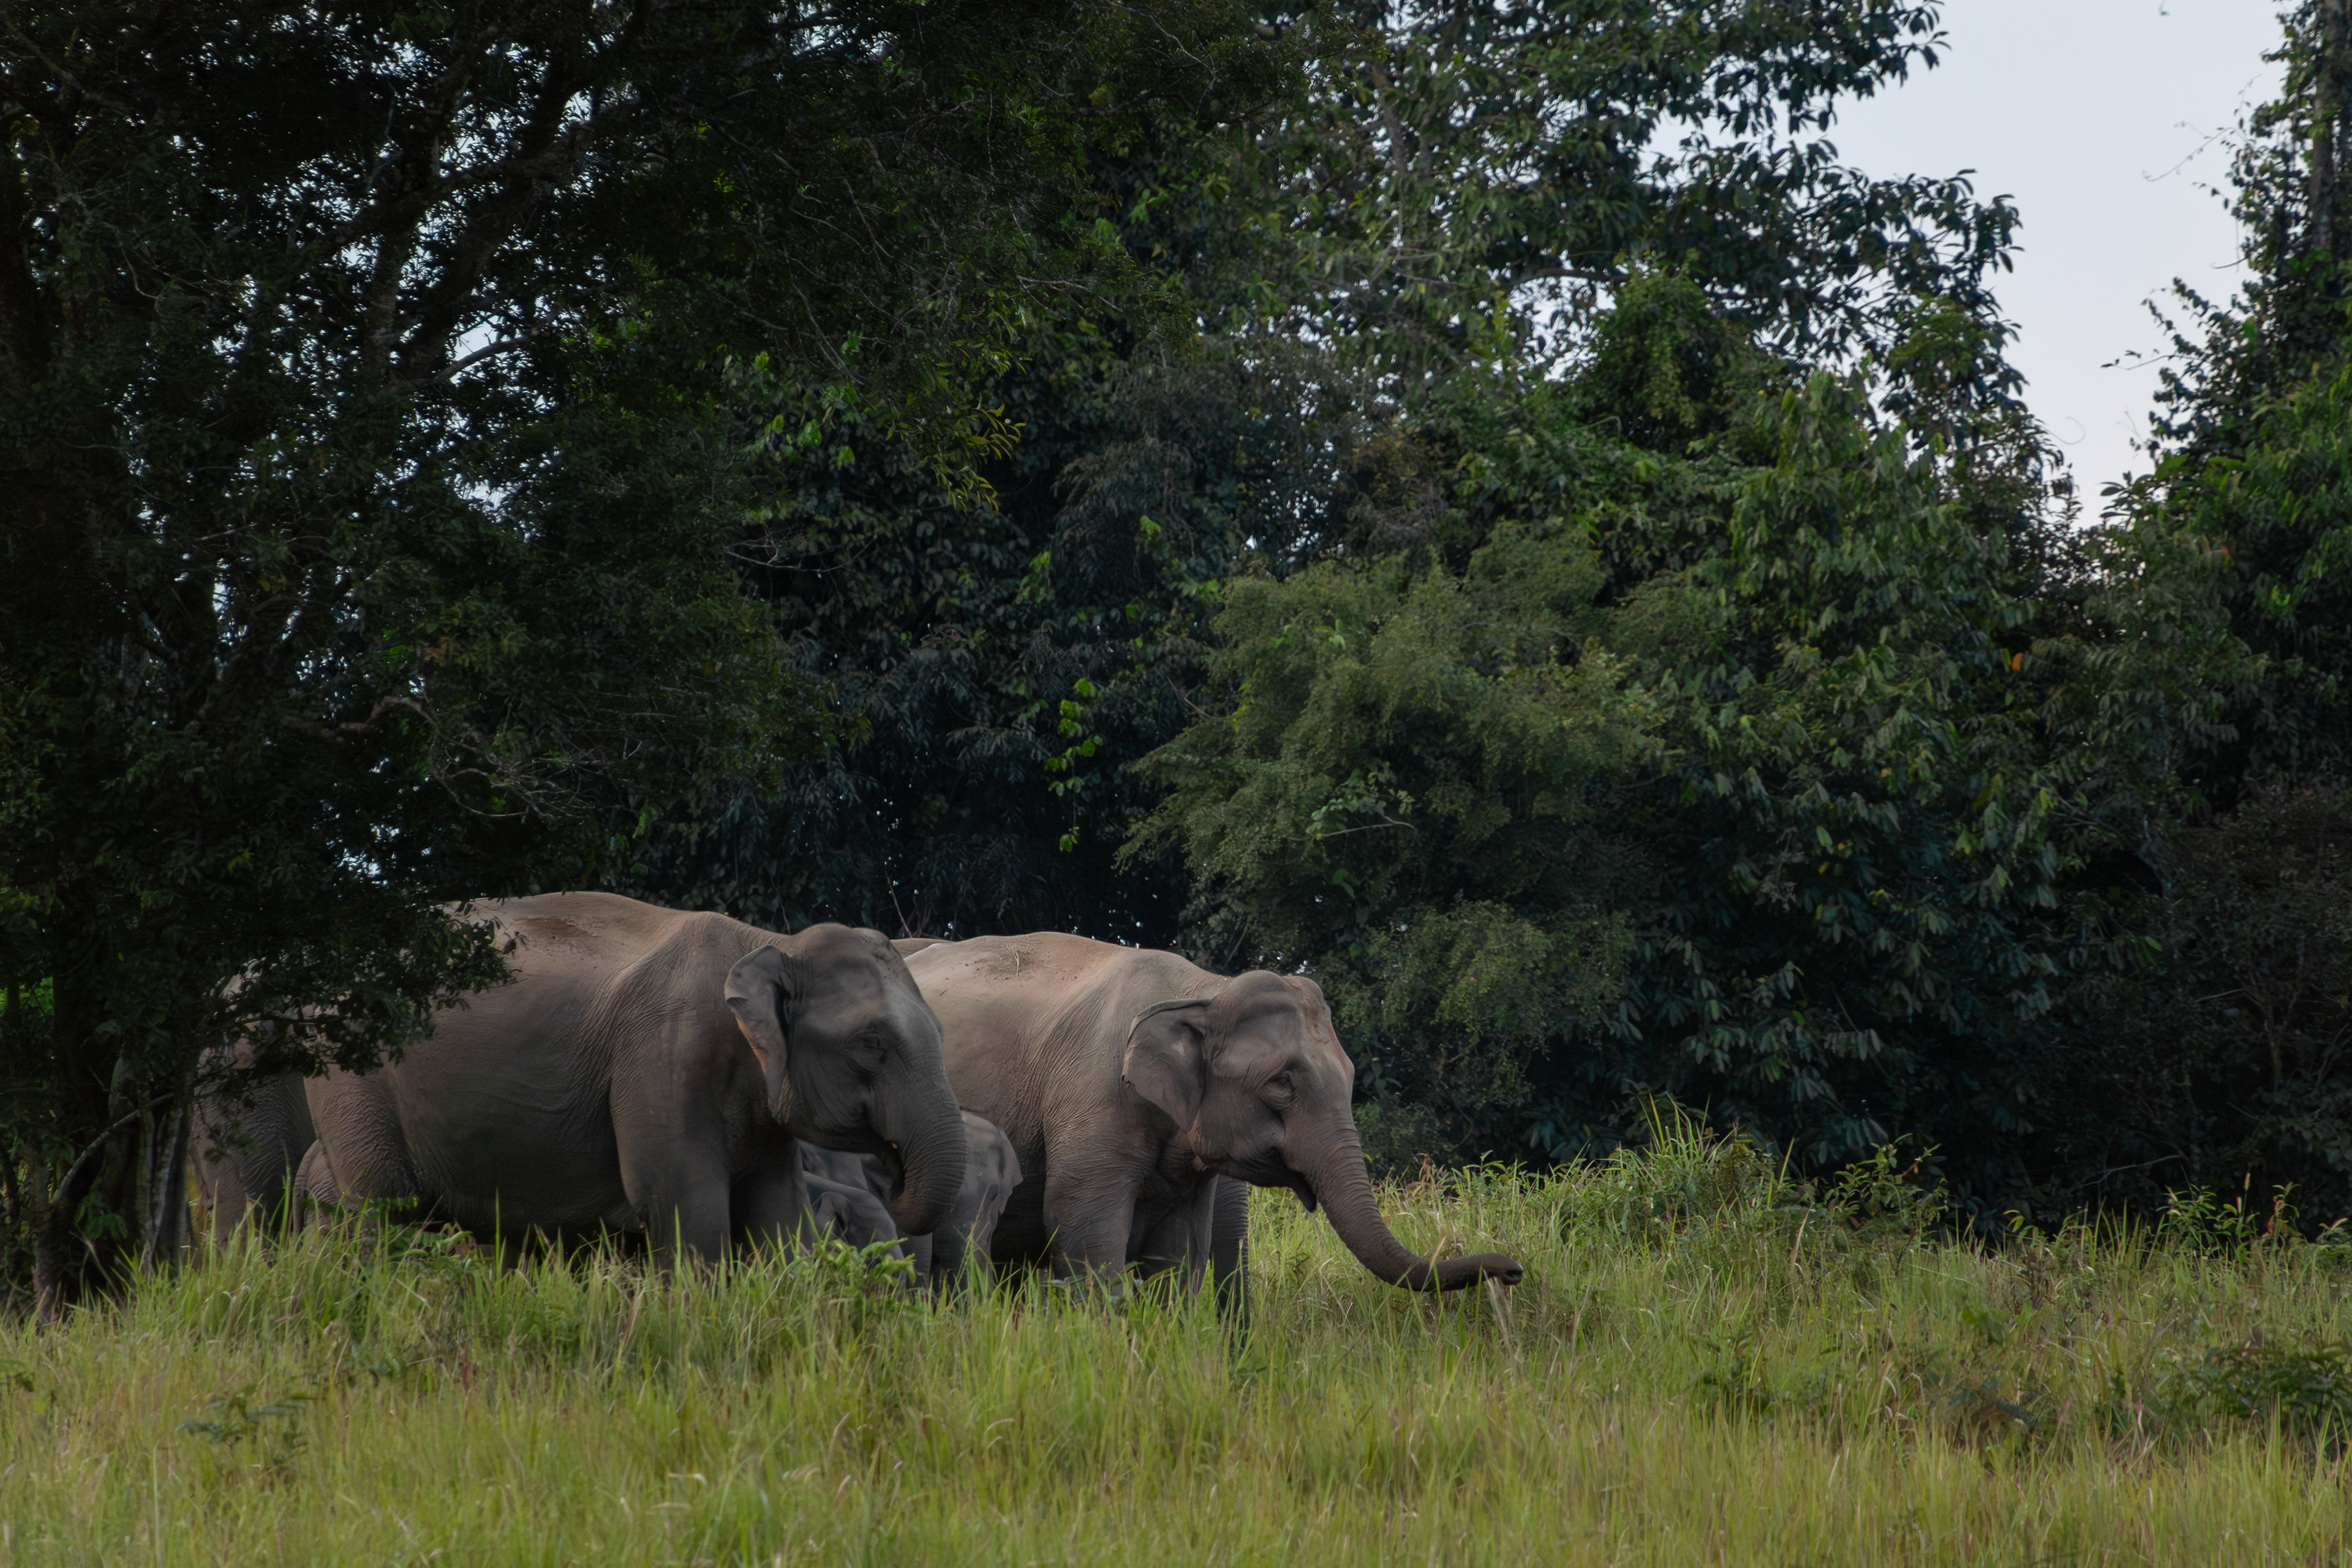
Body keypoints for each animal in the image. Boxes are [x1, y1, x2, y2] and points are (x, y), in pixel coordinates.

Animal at [265, 892, 966, 1263]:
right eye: (872, 1045)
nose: (890, 1165)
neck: (769, 941)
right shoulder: (666, 1058)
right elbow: (682, 1204)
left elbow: (777, 1216)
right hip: (351, 1078)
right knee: (381, 1205)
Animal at [897, 934, 1523, 1295]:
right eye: (1282, 1083)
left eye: (1349, 1079)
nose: (1513, 1271)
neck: (1204, 989)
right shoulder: (1090, 1097)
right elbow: (1083, 1229)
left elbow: (1177, 1254)